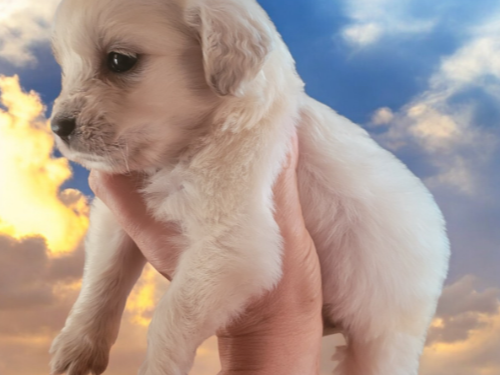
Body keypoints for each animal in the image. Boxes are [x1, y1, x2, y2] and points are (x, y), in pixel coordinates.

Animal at [48, 0, 452, 375]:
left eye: (119, 61)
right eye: (65, 68)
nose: (57, 127)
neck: (183, 151)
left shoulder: (233, 245)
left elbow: (169, 317)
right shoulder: (117, 216)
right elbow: (103, 279)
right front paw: (76, 348)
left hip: (384, 338)